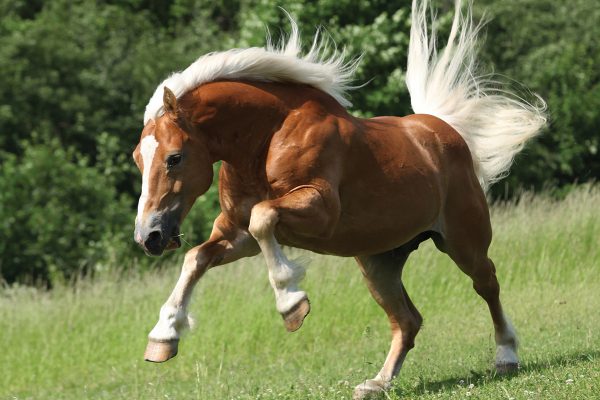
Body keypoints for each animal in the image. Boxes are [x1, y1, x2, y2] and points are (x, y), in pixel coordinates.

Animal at [134, 1, 548, 398]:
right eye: (138, 158)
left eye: (174, 157)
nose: (149, 236)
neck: (267, 138)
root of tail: (442, 129)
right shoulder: (238, 237)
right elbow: (196, 258)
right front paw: (163, 336)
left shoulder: (318, 212)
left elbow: (264, 218)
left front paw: (291, 304)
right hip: (378, 262)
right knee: (407, 321)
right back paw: (377, 383)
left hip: (463, 242)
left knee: (487, 284)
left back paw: (506, 356)